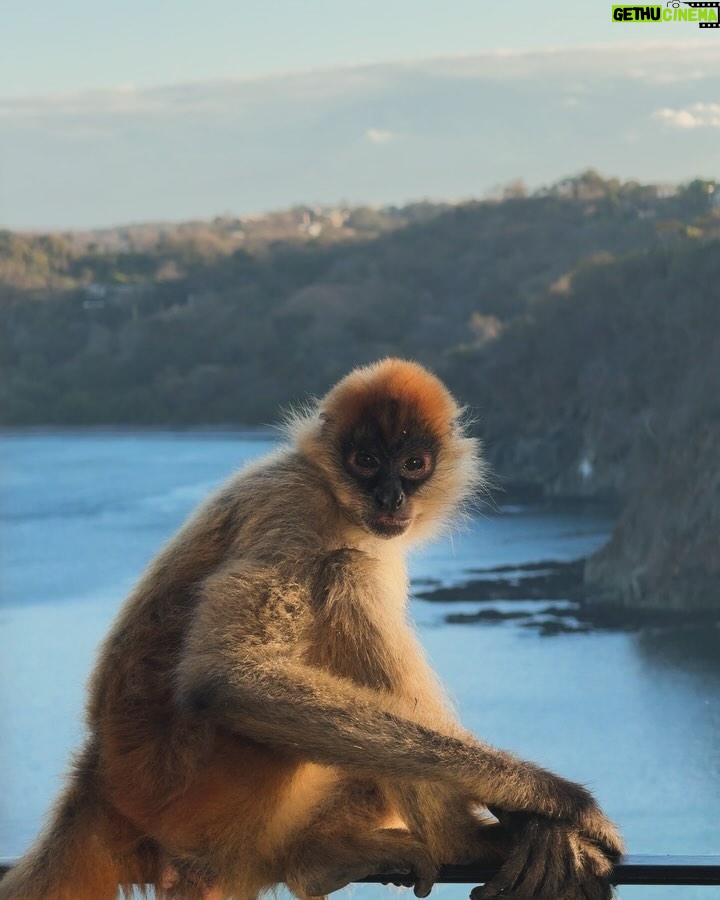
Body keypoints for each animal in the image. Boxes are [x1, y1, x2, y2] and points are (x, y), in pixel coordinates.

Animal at [0, 358, 620, 900]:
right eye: (365, 460)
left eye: (413, 465)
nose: (390, 495)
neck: (333, 494)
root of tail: (100, 774)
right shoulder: (294, 509)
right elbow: (225, 679)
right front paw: (551, 800)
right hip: (191, 788)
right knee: (347, 573)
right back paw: (459, 839)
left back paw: (318, 861)